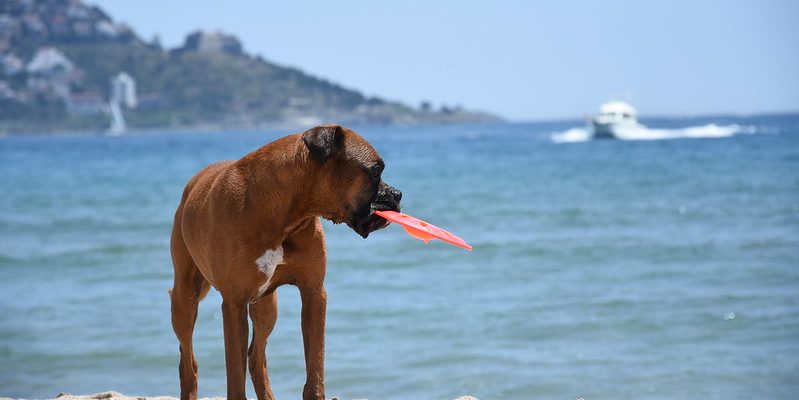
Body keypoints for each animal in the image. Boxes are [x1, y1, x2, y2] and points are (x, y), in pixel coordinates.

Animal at [171, 123, 404, 398]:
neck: (283, 215)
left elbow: (315, 366)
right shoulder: (234, 303)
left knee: (256, 357)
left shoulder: (314, 294)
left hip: (266, 306)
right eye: (375, 170)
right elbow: (235, 373)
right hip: (185, 299)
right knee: (188, 360)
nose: (397, 194)